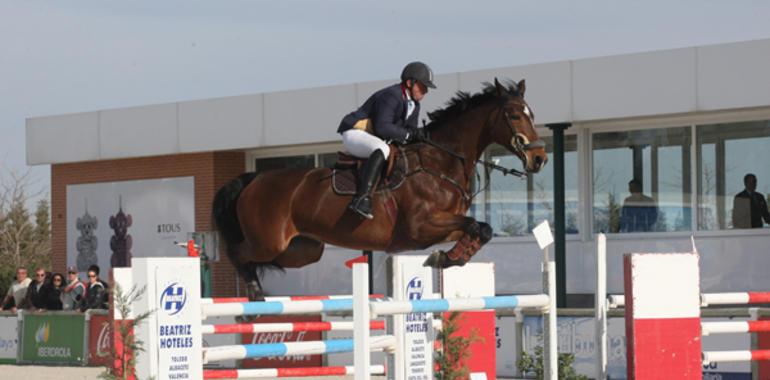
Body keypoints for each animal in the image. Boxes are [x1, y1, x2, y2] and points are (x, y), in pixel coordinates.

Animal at [210, 78, 544, 302]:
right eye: (515, 115)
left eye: (532, 113)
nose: (539, 158)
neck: (440, 161)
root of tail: (253, 179)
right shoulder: (420, 227)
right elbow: (477, 225)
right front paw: (444, 259)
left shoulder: (440, 227)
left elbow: (480, 229)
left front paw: (447, 258)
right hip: (269, 241)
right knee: (238, 252)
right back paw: (254, 293)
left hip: (302, 249)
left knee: (267, 260)